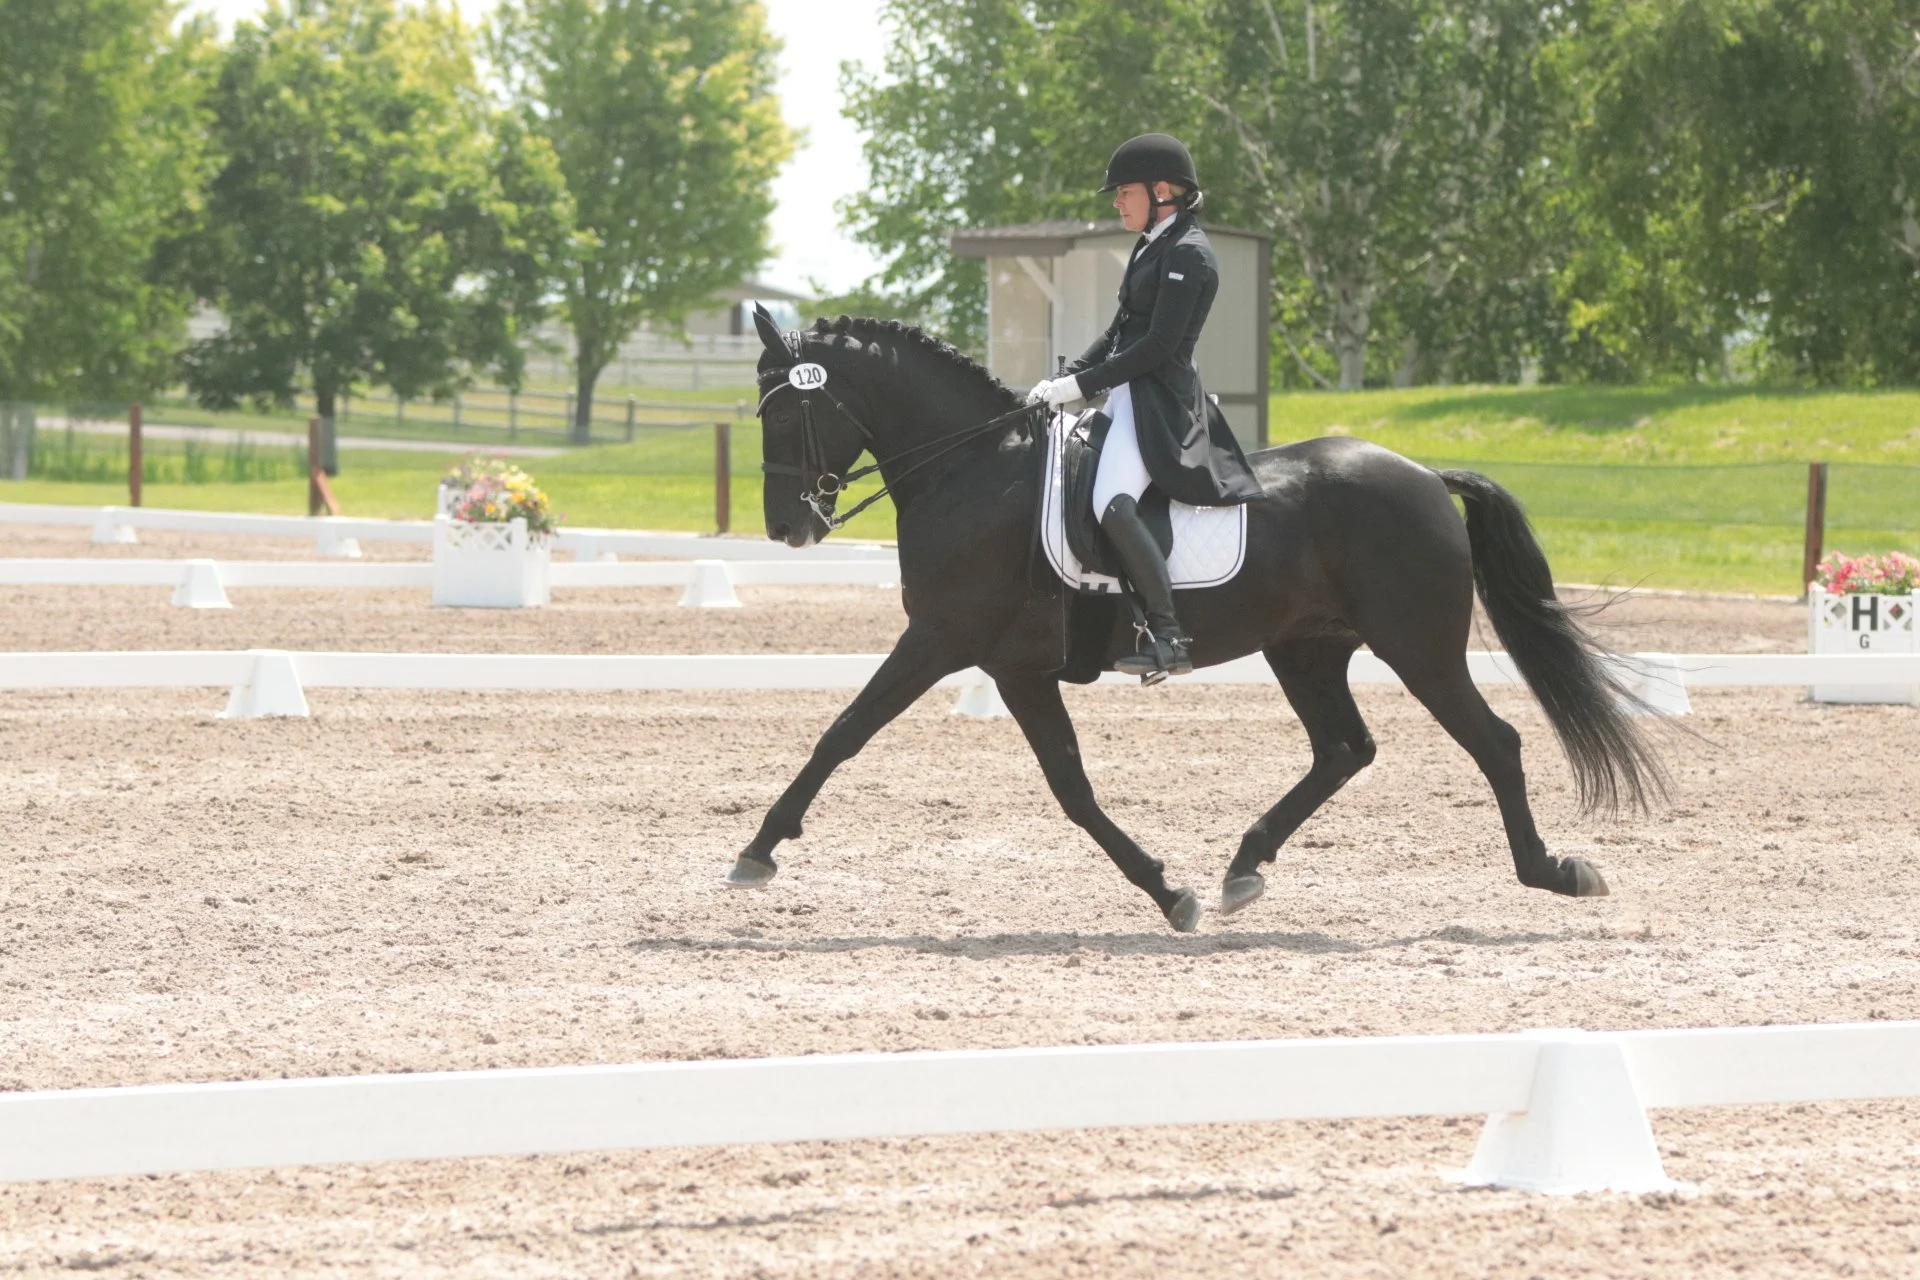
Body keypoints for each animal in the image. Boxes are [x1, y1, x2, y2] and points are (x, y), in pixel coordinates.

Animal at [726, 308, 1666, 933]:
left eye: (787, 408)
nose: (787, 527)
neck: (973, 468)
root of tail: (1427, 477)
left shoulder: (943, 639)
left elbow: (844, 732)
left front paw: (758, 851)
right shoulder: (1015, 668)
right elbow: (1071, 786)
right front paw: (1169, 890)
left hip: (1418, 646)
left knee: (1492, 742)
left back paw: (1554, 871)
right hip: (1307, 648)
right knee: (1344, 749)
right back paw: (1243, 869)